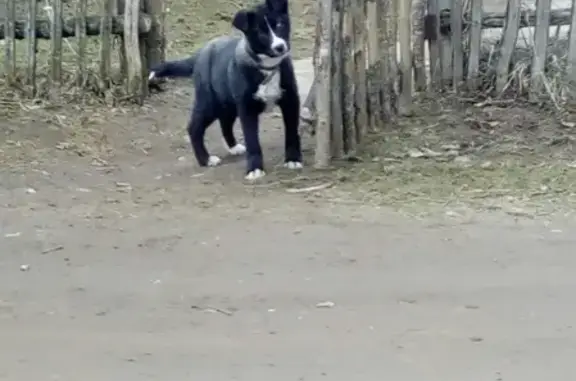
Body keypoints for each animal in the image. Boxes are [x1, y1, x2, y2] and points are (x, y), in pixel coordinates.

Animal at [148, 0, 302, 180]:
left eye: (279, 24)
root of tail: (199, 54)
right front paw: (255, 169)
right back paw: (205, 159)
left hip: (227, 103)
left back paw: (233, 147)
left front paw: (293, 159)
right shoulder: (247, 108)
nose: (280, 47)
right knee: (194, 127)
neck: (267, 68)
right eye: (260, 33)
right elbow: (252, 140)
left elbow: (292, 132)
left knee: (224, 122)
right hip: (210, 102)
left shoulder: (291, 101)